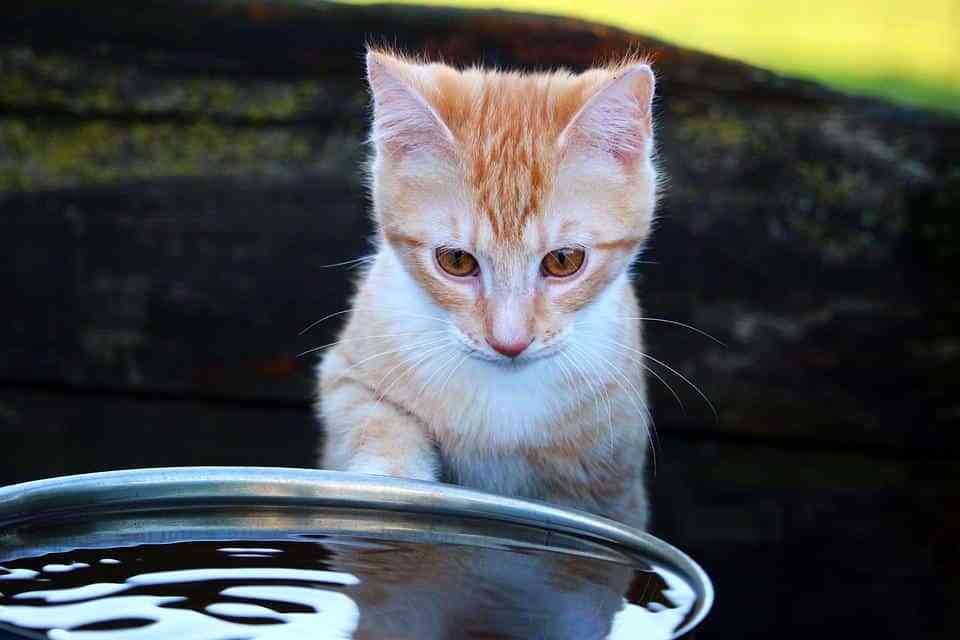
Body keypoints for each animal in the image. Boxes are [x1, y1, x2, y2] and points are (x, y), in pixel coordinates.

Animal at [318, 50, 656, 528]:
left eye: (563, 260)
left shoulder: (615, 481)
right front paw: (392, 483)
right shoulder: (347, 372)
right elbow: (376, 420)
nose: (508, 342)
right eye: (456, 261)